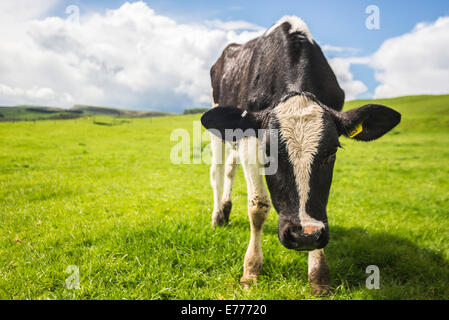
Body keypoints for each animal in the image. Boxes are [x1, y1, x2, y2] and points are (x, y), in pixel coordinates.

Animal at [200, 16, 400, 294]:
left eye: (331, 153)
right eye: (268, 153)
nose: (305, 235)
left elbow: (319, 205)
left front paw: (319, 275)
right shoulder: (251, 139)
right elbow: (257, 206)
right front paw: (251, 270)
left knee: (230, 167)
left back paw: (226, 210)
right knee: (217, 172)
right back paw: (218, 215)